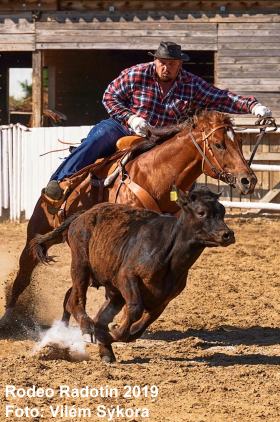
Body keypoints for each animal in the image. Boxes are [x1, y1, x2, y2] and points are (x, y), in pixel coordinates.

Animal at [0, 109, 256, 324]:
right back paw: (9, 317)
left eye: (240, 142)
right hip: (38, 230)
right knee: (24, 275)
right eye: (219, 144)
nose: (248, 180)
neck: (154, 178)